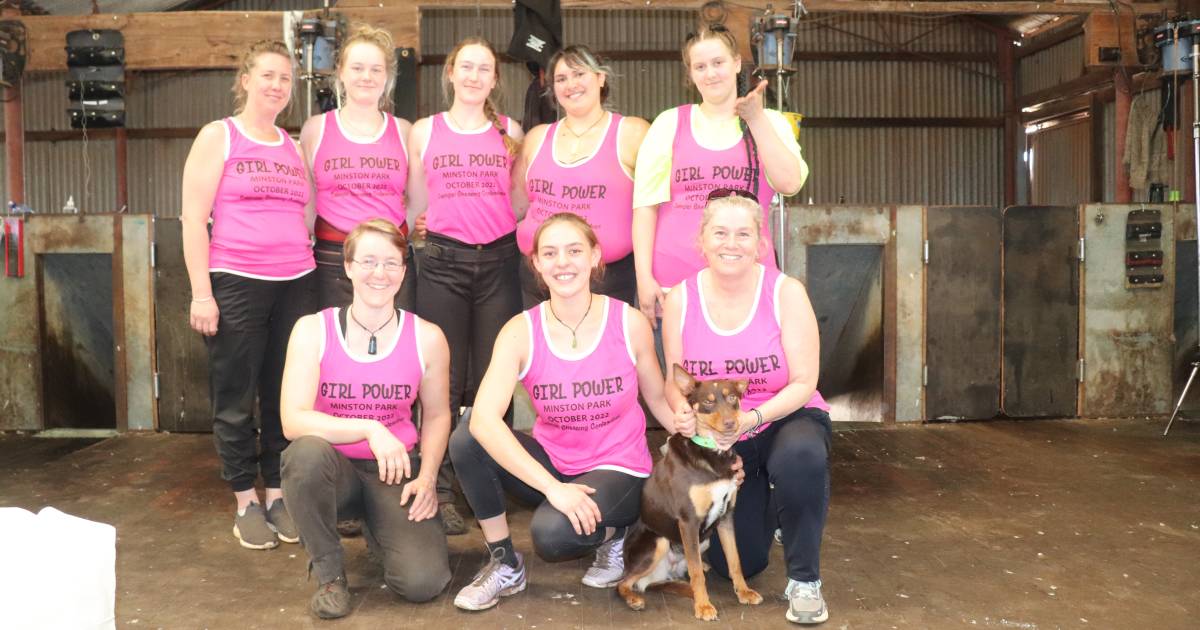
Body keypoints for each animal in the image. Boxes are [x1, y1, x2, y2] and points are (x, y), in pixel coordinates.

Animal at [619, 362, 758, 619]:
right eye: (708, 402)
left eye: (733, 397)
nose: (730, 424)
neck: (713, 453)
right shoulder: (689, 520)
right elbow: (696, 574)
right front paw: (703, 606)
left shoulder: (726, 516)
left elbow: (734, 561)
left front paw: (743, 592)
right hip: (659, 541)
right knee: (624, 583)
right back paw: (634, 598)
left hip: (703, 541)